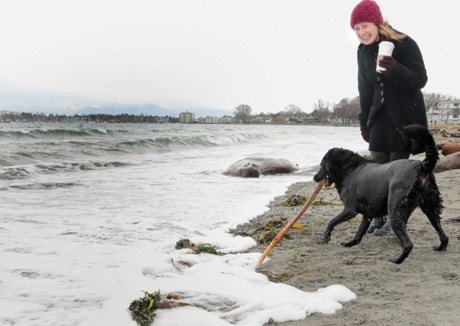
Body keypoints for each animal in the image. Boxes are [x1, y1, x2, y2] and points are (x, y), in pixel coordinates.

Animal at [314, 123, 448, 264]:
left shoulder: (350, 209)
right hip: (430, 209)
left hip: (395, 213)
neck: (349, 169)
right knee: (444, 235)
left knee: (408, 244)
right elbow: (359, 233)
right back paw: (440, 248)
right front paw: (349, 243)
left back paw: (396, 261)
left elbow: (331, 221)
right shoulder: (367, 214)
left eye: (322, 165)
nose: (315, 177)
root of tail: (421, 166)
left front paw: (325, 238)